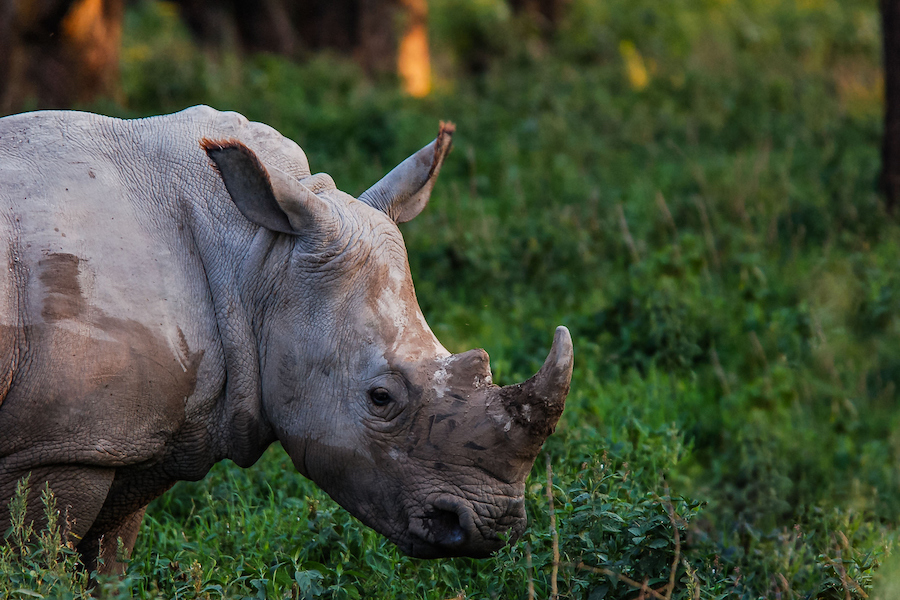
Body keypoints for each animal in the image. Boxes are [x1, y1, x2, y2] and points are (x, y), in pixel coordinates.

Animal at [0, 106, 573, 574]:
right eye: (380, 398)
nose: (492, 525)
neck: (255, 255)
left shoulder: (121, 436)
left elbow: (109, 563)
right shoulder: (55, 445)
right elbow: (34, 562)